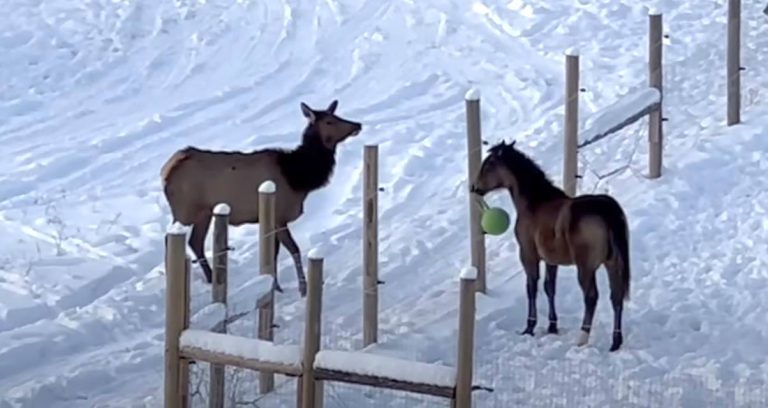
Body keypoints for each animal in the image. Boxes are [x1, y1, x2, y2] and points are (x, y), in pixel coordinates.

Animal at [160, 100, 362, 297]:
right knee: (170, 237)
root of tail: (165, 172)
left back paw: (210, 278)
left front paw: (276, 287)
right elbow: (293, 249)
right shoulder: (279, 215)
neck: (298, 177)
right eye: (329, 121)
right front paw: (302, 288)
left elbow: (274, 254)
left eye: (336, 115)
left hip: (205, 212)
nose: (357, 124)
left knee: (195, 241)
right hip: (185, 209)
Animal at [469, 140, 630, 352]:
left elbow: (532, 287)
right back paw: (616, 341)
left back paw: (582, 337)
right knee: (616, 297)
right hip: (613, 263)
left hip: (586, 268)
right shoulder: (551, 260)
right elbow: (549, 288)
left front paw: (529, 327)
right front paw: (552, 326)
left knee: (591, 297)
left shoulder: (528, 254)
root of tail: (607, 212)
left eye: (488, 164)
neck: (535, 203)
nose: (474, 187)